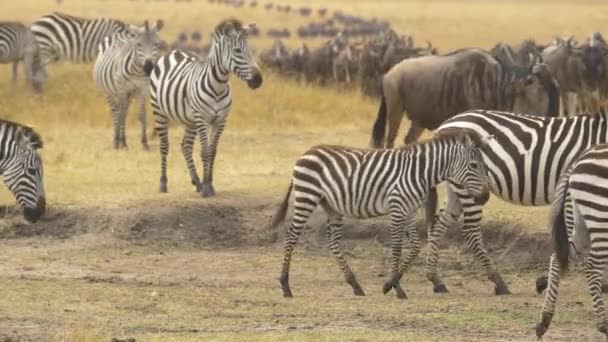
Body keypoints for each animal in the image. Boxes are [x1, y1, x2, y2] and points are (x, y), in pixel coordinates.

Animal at [93, 20, 165, 150]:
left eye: (156, 44)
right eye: (139, 44)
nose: (148, 67)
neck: (138, 72)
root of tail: (119, 35)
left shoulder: (143, 89)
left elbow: (141, 115)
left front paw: (144, 143)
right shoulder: (122, 89)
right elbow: (120, 114)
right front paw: (120, 143)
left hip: (129, 95)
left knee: (124, 112)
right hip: (109, 92)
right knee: (116, 113)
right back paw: (118, 140)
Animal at [150, 19, 262, 198]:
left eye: (250, 50)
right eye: (237, 51)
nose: (258, 80)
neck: (218, 86)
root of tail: (174, 52)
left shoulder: (220, 120)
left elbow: (213, 151)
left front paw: (208, 184)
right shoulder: (202, 118)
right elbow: (205, 151)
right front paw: (206, 189)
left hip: (190, 119)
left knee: (186, 146)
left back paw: (196, 181)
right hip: (159, 112)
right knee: (164, 146)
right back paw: (163, 183)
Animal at [274, 131, 492, 300]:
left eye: (484, 166)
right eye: (474, 165)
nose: (485, 197)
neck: (419, 172)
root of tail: (307, 152)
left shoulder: (410, 210)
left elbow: (414, 247)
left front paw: (389, 284)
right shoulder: (397, 208)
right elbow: (396, 247)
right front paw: (397, 288)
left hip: (331, 207)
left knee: (334, 243)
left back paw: (355, 285)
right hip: (307, 196)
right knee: (291, 236)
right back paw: (285, 285)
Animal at [404, 109, 608, 296]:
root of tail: (446, 124)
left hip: (457, 186)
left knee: (439, 223)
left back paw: (436, 279)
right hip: (470, 189)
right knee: (470, 232)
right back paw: (498, 281)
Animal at [536, 144, 608, 340]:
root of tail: (577, 160)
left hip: (582, 221)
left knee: (558, 257)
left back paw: (544, 320)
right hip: (600, 219)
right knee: (592, 266)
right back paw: (604, 325)